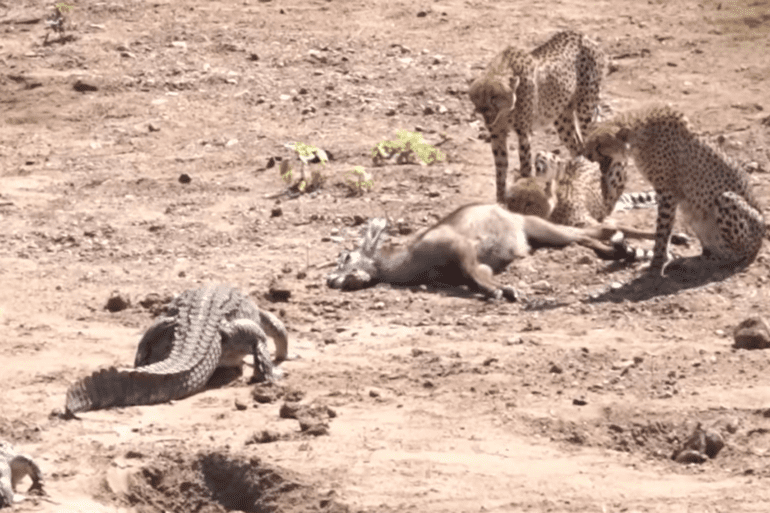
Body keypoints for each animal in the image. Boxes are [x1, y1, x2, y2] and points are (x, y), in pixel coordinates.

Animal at [469, 30, 606, 203]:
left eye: (494, 97)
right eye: (478, 96)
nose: (484, 111)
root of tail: (582, 34)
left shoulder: (523, 133)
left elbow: (525, 165)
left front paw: (523, 192)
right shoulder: (497, 134)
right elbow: (501, 167)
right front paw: (500, 199)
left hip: (585, 109)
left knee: (587, 145)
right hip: (562, 118)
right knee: (577, 146)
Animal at [583, 104, 766, 277]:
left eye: (599, 145)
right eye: (590, 142)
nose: (586, 155)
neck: (639, 137)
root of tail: (760, 242)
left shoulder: (667, 193)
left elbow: (662, 231)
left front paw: (656, 264)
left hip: (727, 199)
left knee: (733, 256)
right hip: (694, 213)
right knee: (714, 253)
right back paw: (688, 262)